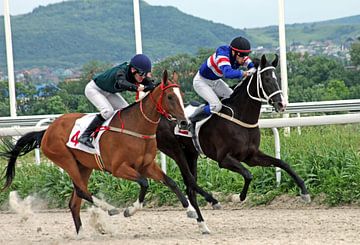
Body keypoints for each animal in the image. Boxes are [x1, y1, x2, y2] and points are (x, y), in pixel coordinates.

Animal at [0, 70, 191, 234]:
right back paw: (110, 209)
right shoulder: (119, 168)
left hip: (84, 166)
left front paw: (191, 211)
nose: (184, 123)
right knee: (82, 191)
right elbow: (144, 183)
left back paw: (82, 234)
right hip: (66, 160)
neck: (137, 127)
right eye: (170, 96)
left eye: (182, 96)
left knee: (74, 201)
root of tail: (47, 131)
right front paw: (129, 210)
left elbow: (171, 182)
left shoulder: (147, 165)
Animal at [155, 54, 310, 234]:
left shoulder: (252, 156)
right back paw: (212, 203)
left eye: (276, 78)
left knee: (190, 188)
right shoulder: (224, 159)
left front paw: (304, 192)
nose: (281, 104)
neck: (240, 118)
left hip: (191, 154)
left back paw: (203, 225)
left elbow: (282, 163)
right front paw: (240, 197)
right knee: (189, 182)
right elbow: (248, 174)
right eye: (265, 79)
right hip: (175, 151)